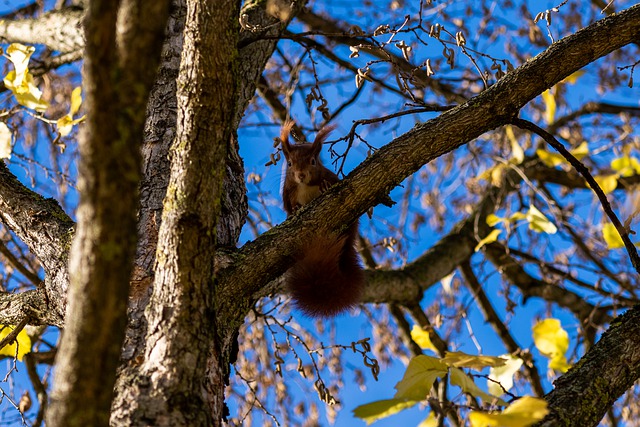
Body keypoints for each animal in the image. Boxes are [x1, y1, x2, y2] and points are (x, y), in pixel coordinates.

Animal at [279, 120, 364, 318]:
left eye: (312, 161)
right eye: (289, 163)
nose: (301, 174)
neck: (305, 186)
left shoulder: (330, 176)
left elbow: (328, 182)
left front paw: (325, 186)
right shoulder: (288, 193)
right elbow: (290, 208)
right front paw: (296, 209)